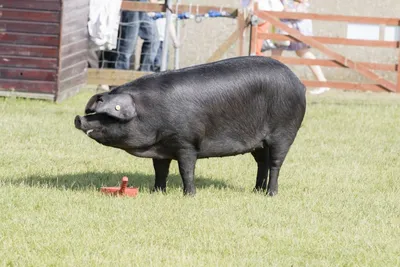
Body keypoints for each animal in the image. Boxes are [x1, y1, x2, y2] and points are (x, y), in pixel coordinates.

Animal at [75, 57, 306, 197]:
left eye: (108, 116)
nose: (79, 118)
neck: (150, 110)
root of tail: (299, 82)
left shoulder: (186, 142)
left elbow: (186, 169)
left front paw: (190, 195)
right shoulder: (162, 147)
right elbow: (160, 170)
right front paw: (157, 192)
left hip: (284, 132)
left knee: (275, 164)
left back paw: (270, 194)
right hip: (258, 143)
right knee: (262, 163)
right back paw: (256, 190)